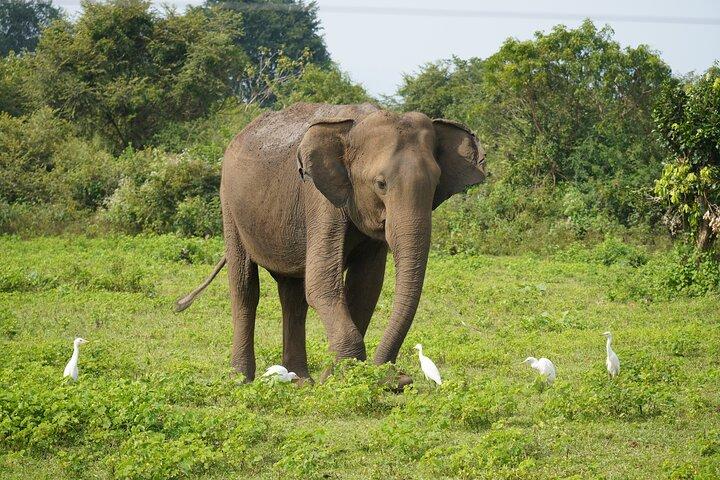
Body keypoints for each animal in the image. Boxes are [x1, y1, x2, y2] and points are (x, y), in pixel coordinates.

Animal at [175, 102, 486, 382]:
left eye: (435, 185)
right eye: (381, 184)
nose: (400, 379)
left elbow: (365, 287)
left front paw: (337, 377)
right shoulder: (319, 200)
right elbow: (322, 283)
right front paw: (342, 378)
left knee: (293, 295)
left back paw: (301, 380)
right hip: (229, 204)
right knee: (245, 288)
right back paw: (241, 379)